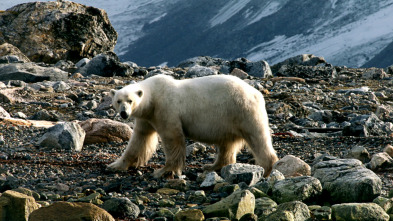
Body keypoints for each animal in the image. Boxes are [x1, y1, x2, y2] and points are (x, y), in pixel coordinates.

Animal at [108, 74, 278, 178]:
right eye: (118, 100)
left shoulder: (166, 109)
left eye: (130, 100)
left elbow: (172, 137)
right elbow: (140, 139)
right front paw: (116, 165)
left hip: (243, 110)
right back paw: (212, 166)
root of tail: (257, 93)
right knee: (227, 143)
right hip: (228, 119)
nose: (124, 113)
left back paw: (267, 169)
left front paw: (163, 171)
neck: (153, 97)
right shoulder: (147, 117)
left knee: (258, 137)